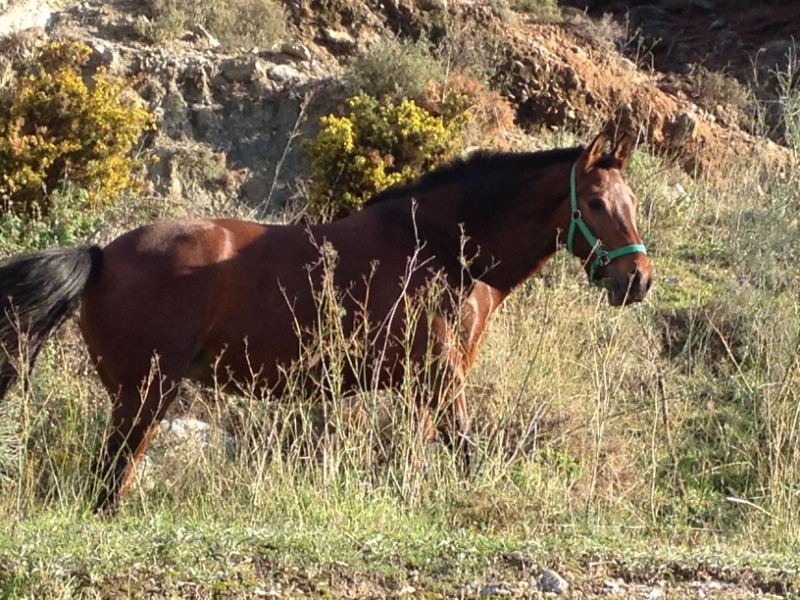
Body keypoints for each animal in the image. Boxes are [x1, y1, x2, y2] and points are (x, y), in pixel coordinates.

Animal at [0, 132, 654, 512]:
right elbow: (466, 451)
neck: (443, 247)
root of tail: (102, 254)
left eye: (632, 202)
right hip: (145, 394)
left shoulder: (423, 386)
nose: (639, 279)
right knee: (110, 478)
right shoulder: (442, 379)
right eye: (596, 203)